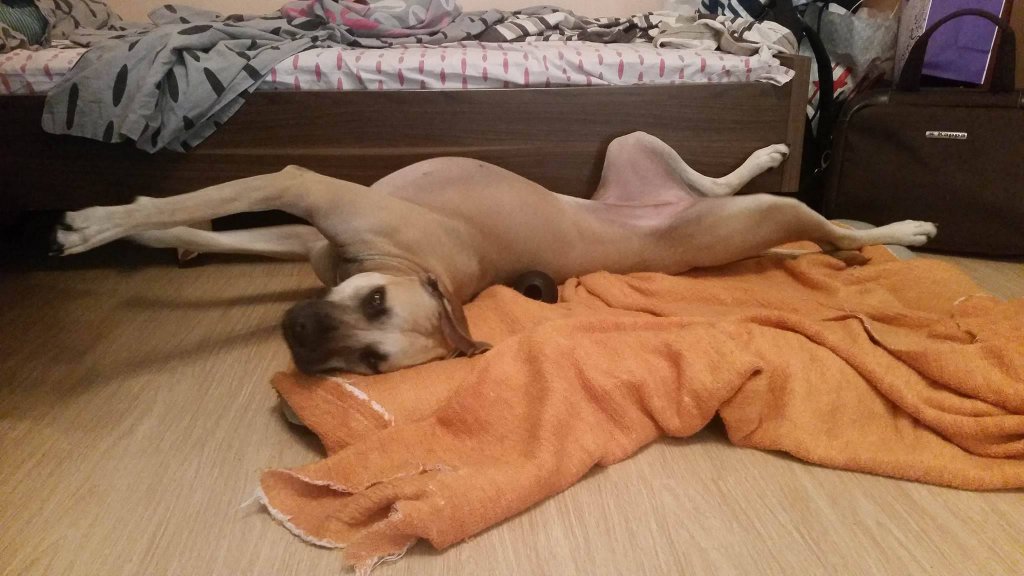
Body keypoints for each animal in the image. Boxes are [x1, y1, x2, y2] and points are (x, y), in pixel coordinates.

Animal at [52, 132, 937, 374]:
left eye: (370, 363)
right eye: (373, 301)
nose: (299, 339)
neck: (417, 271)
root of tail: (653, 216)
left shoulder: (310, 209)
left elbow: (201, 207)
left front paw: (99, 223)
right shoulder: (308, 229)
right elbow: (192, 216)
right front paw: (121, 226)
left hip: (758, 222)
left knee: (834, 232)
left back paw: (901, 236)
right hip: (637, 149)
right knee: (711, 178)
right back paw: (759, 156)